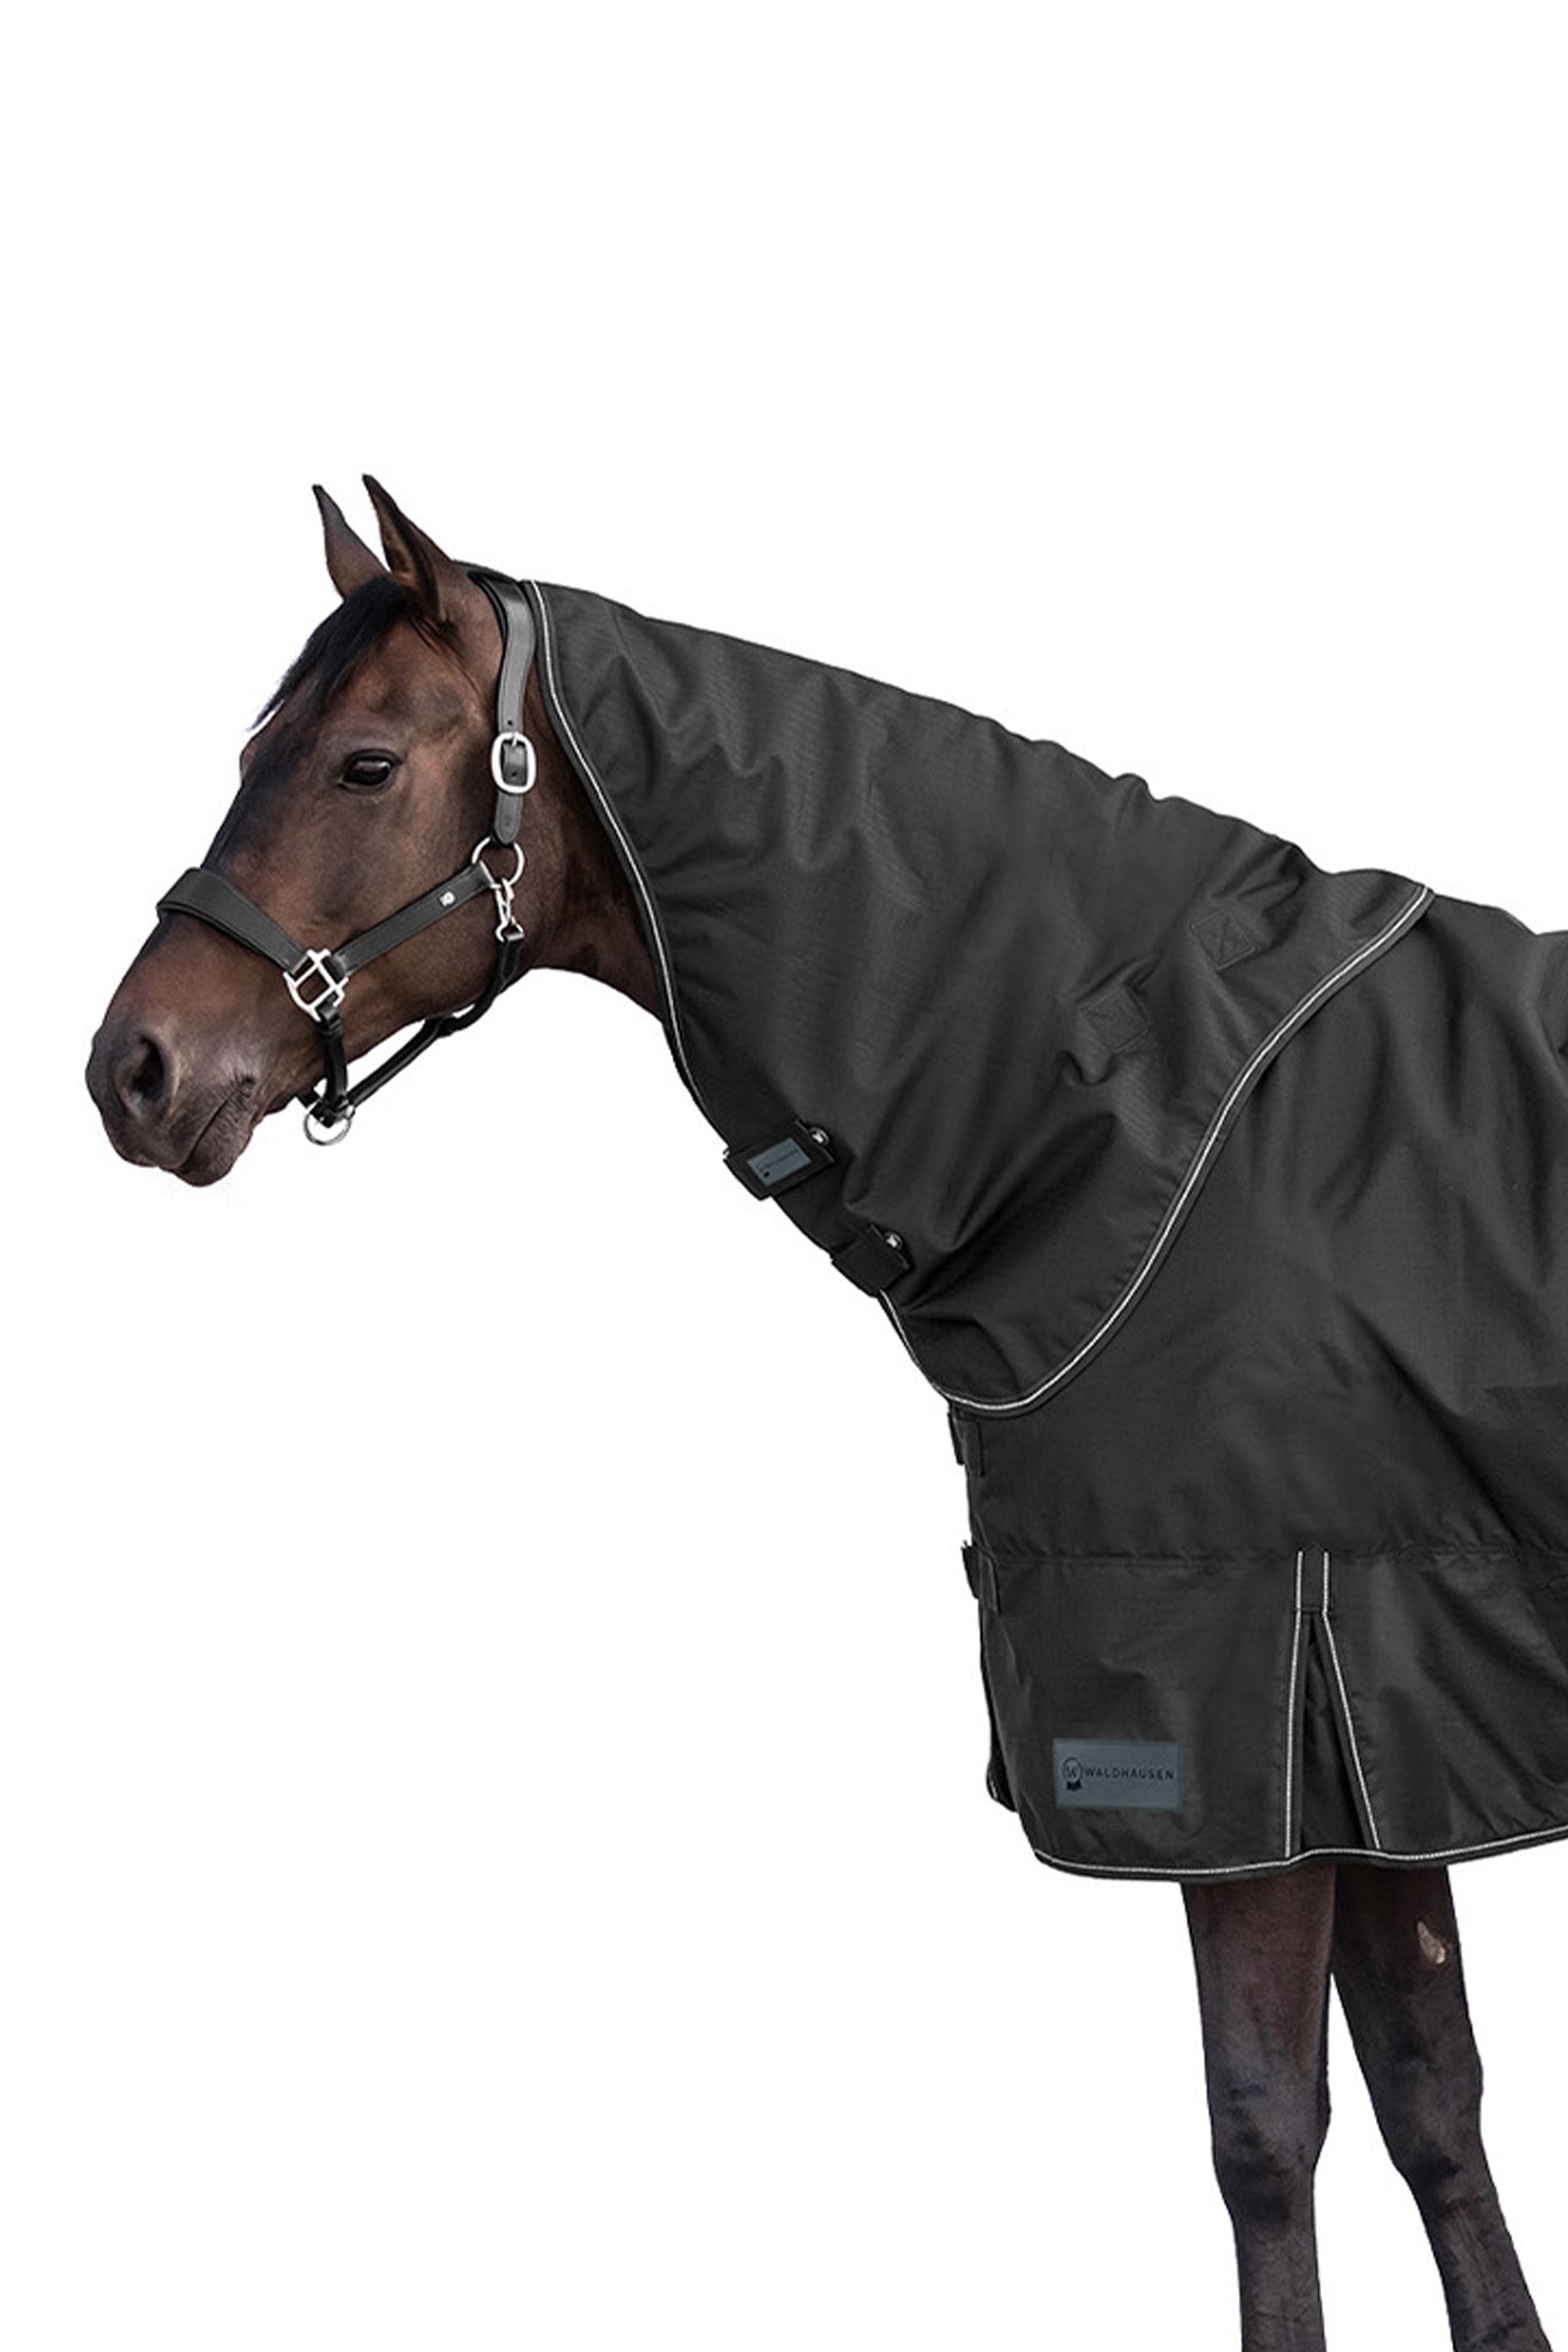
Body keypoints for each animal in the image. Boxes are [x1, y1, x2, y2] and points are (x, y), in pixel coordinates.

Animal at [86, 480, 1559, 2352]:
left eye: (359, 764)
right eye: (250, 748)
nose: (130, 1071)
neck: (1135, 1113)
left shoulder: (1249, 1708)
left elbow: (1267, 2133)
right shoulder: (1375, 1716)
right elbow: (1433, 2099)